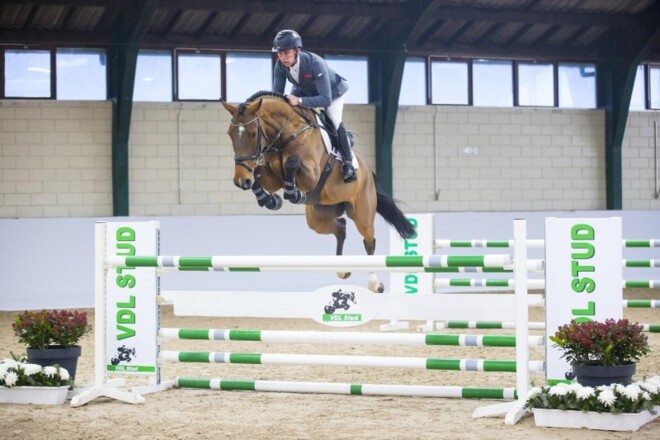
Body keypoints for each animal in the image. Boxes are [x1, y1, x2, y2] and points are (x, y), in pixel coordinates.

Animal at [221, 91, 415, 292]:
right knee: (341, 227)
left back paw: (375, 283)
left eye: (252, 134)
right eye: (230, 134)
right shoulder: (273, 178)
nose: (240, 181)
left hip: (362, 213)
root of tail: (367, 169)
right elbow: (258, 174)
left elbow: (291, 163)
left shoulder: (311, 175)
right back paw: (342, 270)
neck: (287, 134)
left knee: (369, 240)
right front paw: (270, 200)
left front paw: (293, 194)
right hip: (319, 219)